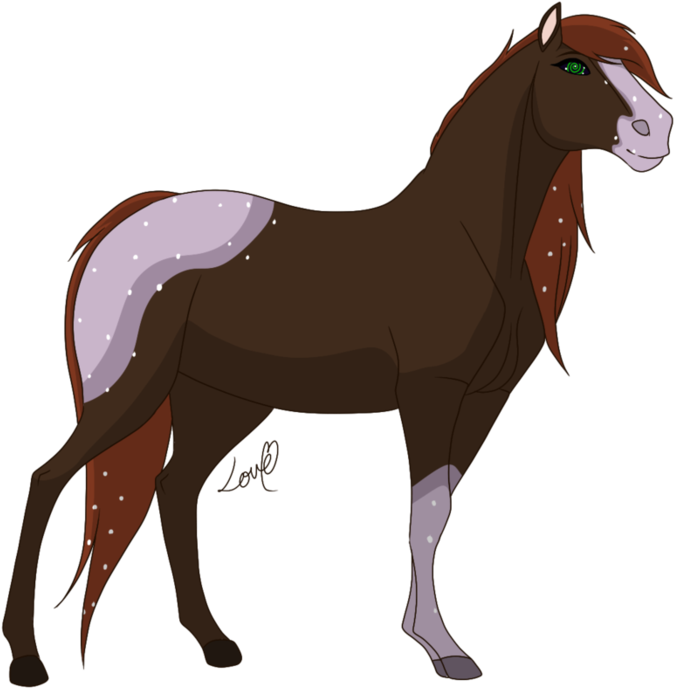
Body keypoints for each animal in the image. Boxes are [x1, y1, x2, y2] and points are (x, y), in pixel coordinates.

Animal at [3, 2, 671, 685]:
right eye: (574, 66)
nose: (658, 134)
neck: (469, 243)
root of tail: (132, 222)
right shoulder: (431, 393)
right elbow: (425, 514)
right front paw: (443, 649)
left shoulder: (483, 402)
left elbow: (439, 510)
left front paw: (424, 634)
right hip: (131, 387)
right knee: (49, 478)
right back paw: (26, 657)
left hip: (224, 400)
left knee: (174, 487)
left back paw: (214, 641)